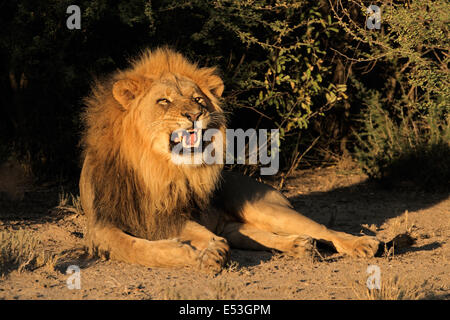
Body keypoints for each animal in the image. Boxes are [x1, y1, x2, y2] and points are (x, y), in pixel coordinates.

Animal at [80, 47, 380, 272]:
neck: (154, 169)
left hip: (266, 209)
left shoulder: (174, 216)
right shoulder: (101, 227)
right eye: (163, 101)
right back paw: (300, 246)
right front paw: (194, 253)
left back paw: (363, 244)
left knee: (322, 228)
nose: (195, 114)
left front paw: (209, 252)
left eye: (198, 99)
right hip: (239, 225)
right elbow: (135, 248)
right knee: (250, 234)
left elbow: (202, 235)